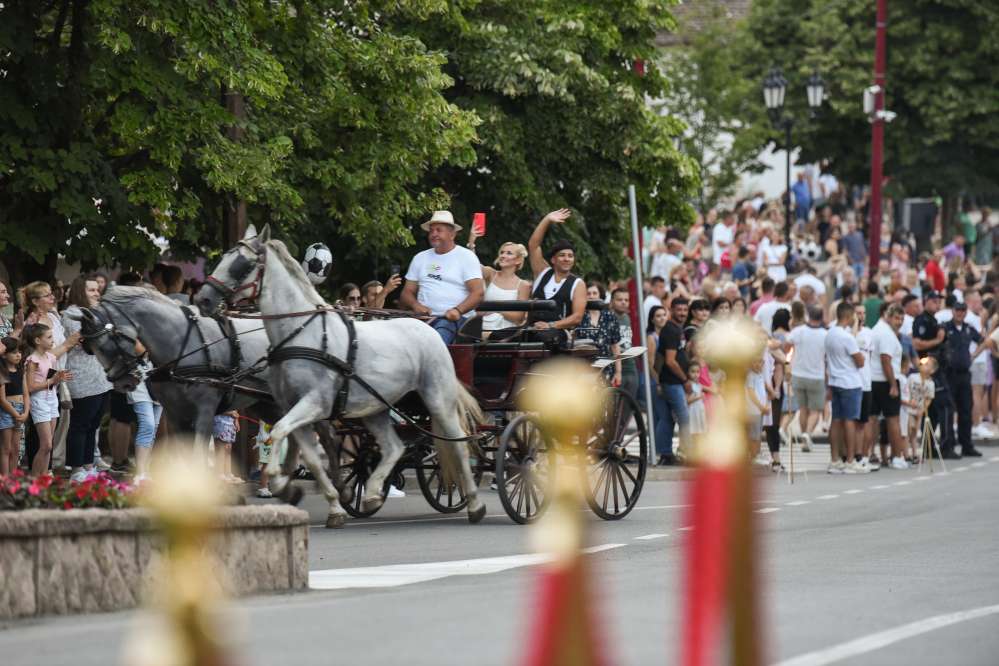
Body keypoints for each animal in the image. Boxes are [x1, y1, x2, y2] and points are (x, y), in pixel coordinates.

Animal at [193, 226, 486, 520]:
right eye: (224, 256)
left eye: (242, 263)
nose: (203, 299)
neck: (302, 332)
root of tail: (430, 328)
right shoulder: (292, 406)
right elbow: (308, 455)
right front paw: (331, 504)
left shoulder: (316, 403)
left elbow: (278, 431)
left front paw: (277, 477)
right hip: (376, 408)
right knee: (394, 447)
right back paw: (371, 494)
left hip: (438, 399)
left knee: (459, 445)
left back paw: (475, 504)